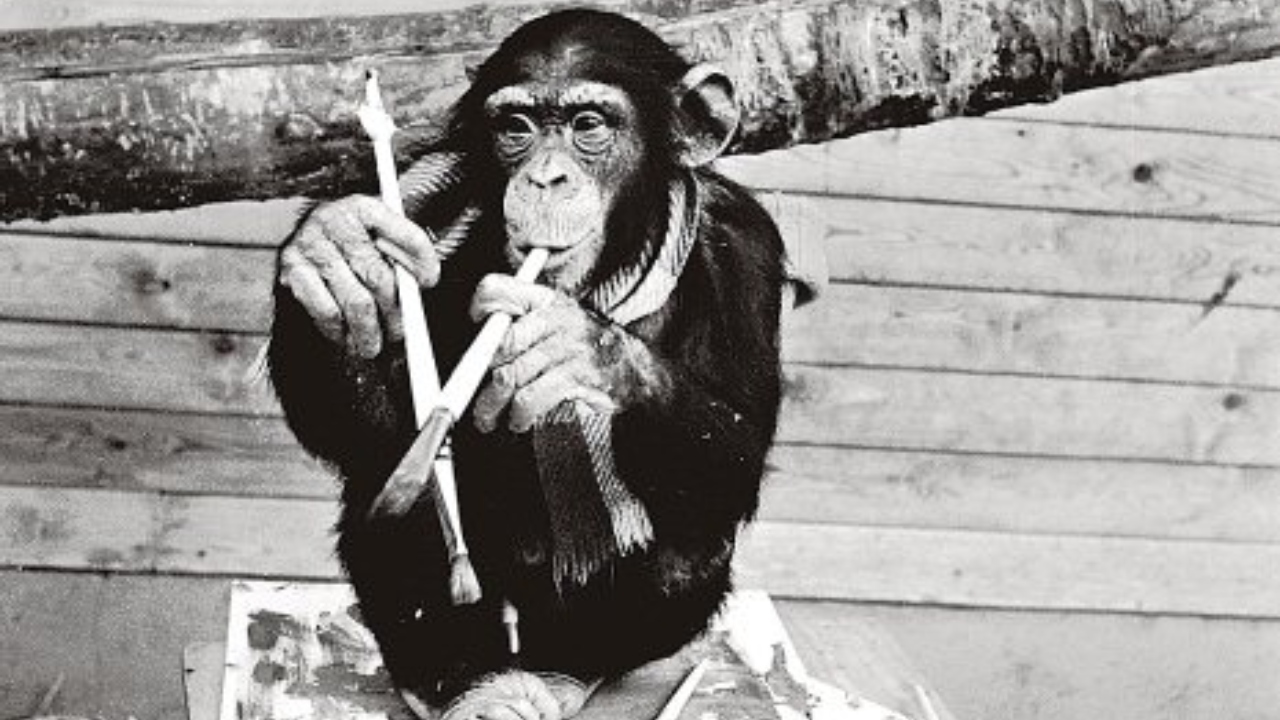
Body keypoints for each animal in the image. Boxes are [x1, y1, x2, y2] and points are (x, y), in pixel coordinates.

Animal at [269, 9, 784, 719]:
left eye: (588, 124)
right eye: (516, 128)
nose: (545, 178)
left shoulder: (746, 247)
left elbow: (736, 455)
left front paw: (581, 351)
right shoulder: (411, 184)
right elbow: (373, 433)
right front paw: (339, 251)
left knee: (691, 545)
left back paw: (564, 674)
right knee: (401, 493)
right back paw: (466, 684)